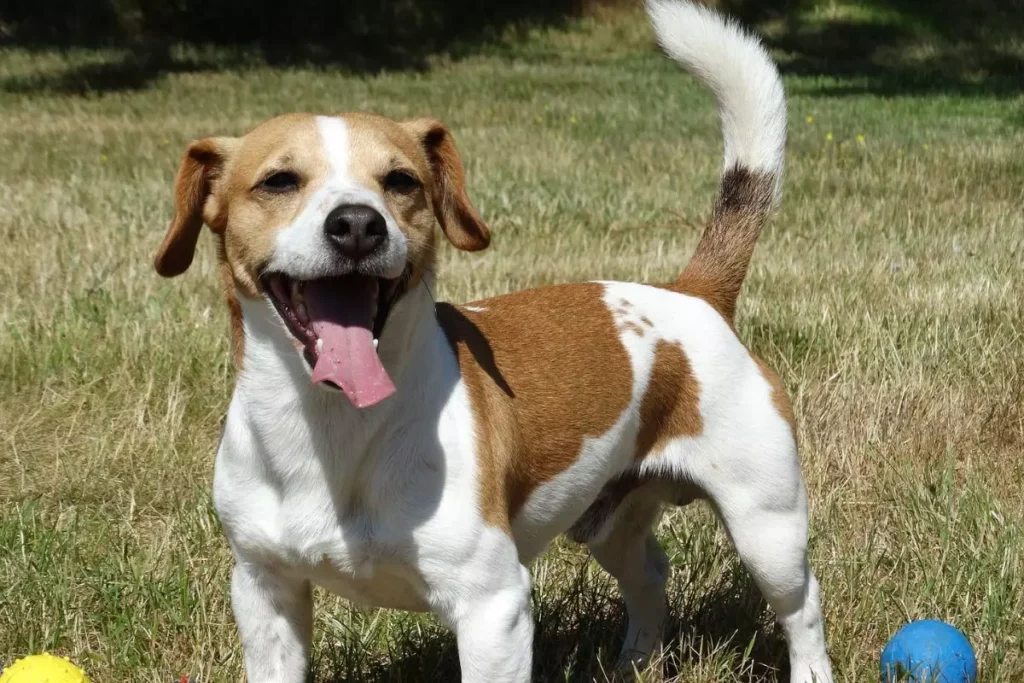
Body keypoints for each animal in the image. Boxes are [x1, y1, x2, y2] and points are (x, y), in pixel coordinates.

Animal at [155, 1, 835, 683]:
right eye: (278, 181)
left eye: (401, 181)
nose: (357, 223)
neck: (333, 425)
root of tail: (694, 293)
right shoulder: (264, 590)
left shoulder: (493, 604)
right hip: (611, 522)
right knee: (650, 575)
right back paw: (634, 661)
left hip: (768, 527)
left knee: (801, 608)